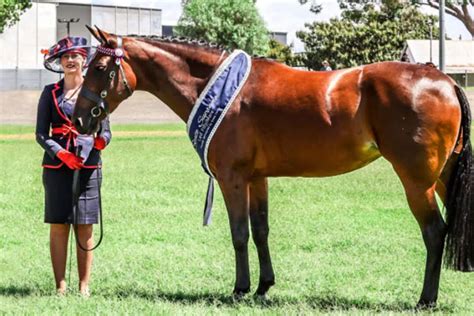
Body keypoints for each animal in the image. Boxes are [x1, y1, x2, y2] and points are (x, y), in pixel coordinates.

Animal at [72, 25, 472, 308]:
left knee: (434, 231)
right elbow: (261, 230)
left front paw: (239, 288)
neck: (221, 90)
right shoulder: (257, 179)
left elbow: (239, 233)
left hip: (416, 180)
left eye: (101, 67)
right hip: (442, 177)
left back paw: (425, 299)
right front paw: (264, 287)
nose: (79, 119)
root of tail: (444, 80)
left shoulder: (232, 178)